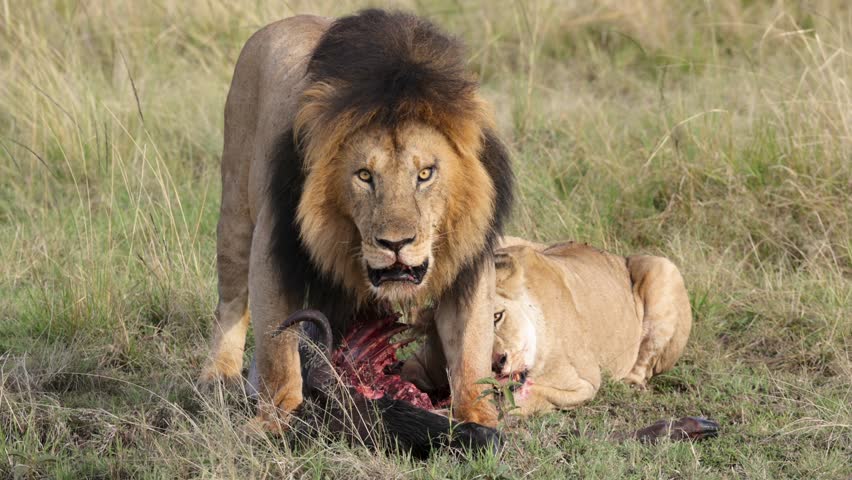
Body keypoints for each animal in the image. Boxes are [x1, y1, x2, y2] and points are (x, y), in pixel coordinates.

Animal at [199, 10, 512, 428]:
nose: (395, 244)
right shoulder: (273, 247)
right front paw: (276, 420)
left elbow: (471, 350)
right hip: (235, 208)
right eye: (364, 175)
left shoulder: (469, 261)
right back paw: (219, 377)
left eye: (425, 173)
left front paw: (479, 420)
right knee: (231, 302)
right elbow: (278, 348)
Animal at [490, 239, 692, 415]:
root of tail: (620, 257)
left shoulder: (587, 383)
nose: (496, 363)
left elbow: (531, 396)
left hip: (663, 267)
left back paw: (630, 383)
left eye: (497, 316)